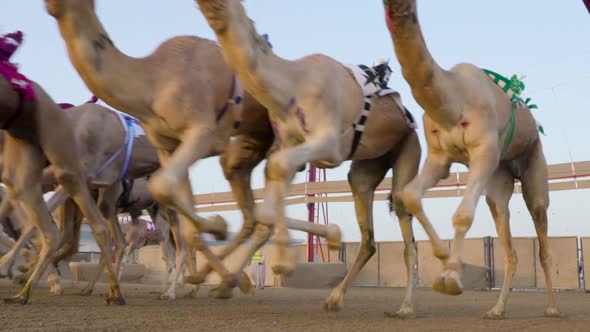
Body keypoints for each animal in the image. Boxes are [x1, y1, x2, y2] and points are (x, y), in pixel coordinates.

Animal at [46, 0, 342, 298]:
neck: (153, 81)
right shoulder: (168, 147)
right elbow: (180, 214)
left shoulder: (204, 134)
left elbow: (163, 192)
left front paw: (217, 230)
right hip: (251, 146)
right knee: (252, 211)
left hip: (282, 135)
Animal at [194, 0, 426, 308]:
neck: (294, 83)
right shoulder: (289, 143)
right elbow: (273, 182)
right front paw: (225, 283)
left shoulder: (330, 145)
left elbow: (276, 176)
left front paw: (281, 264)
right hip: (367, 167)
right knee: (367, 236)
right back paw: (334, 298)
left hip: (409, 147)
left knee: (405, 226)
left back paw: (405, 308)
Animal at [384, 0, 564, 320]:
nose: (395, 9)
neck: (451, 100)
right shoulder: (439, 158)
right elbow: (410, 195)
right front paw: (444, 258)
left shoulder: (485, 151)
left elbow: (463, 215)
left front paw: (451, 278)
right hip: (500, 180)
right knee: (508, 243)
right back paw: (497, 309)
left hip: (534, 166)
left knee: (542, 238)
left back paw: (553, 309)